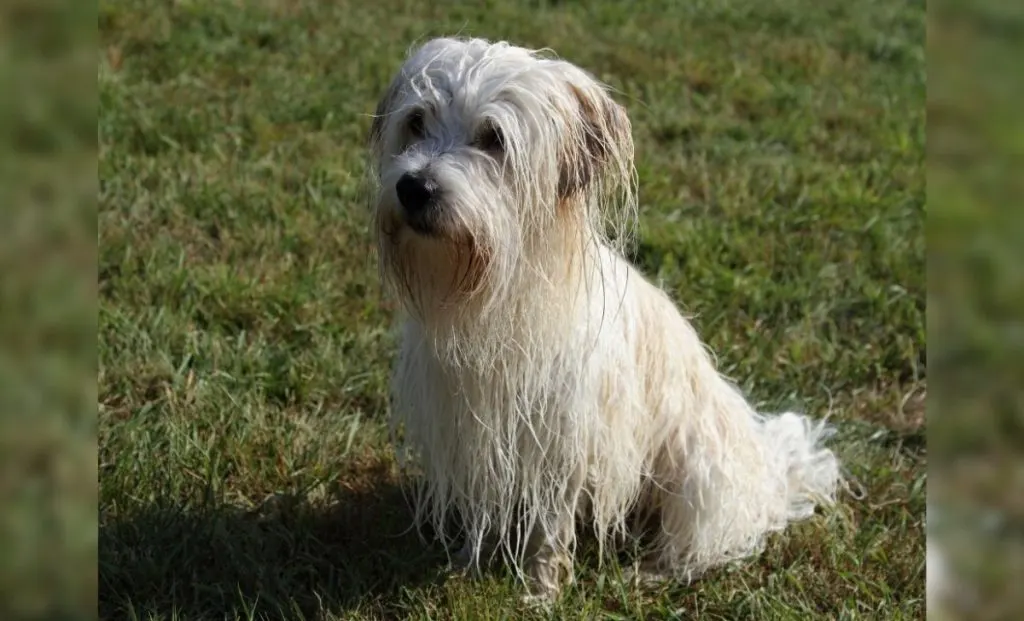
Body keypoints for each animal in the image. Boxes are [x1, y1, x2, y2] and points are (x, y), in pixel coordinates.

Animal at [368, 36, 839, 602]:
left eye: (493, 138)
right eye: (416, 121)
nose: (414, 188)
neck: (496, 292)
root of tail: (772, 475)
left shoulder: (563, 434)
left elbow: (550, 526)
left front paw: (542, 591)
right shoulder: (471, 428)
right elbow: (486, 503)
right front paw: (468, 563)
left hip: (697, 474)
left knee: (701, 545)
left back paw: (652, 571)